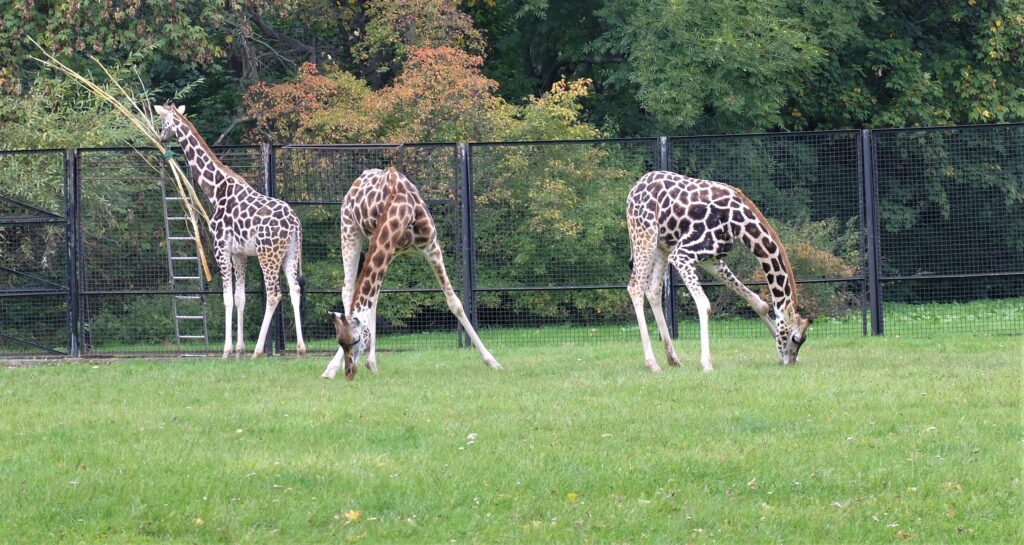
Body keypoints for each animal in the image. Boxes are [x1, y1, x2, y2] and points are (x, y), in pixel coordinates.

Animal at [151, 104, 303, 360]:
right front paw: (240, 349)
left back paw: (259, 350)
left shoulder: (220, 247)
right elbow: (241, 297)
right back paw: (301, 348)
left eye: (162, 121)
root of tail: (294, 223)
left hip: (268, 254)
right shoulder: (239, 253)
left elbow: (227, 298)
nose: (161, 137)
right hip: (289, 253)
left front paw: (227, 350)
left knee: (274, 294)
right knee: (295, 290)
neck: (215, 189)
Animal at [317, 165, 497, 379]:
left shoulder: (430, 246)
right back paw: (331, 369)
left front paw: (492, 361)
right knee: (348, 288)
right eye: (340, 342)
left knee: (369, 298)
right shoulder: (384, 244)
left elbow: (455, 303)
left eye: (354, 340)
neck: (403, 209)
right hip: (349, 229)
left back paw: (371, 363)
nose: (349, 372)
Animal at [626, 172, 811, 372]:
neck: (738, 222)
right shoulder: (683, 254)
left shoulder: (711, 259)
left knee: (653, 290)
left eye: (804, 340)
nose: (790, 362)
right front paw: (706, 363)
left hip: (663, 246)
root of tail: (633, 189)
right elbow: (705, 305)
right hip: (645, 234)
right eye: (795, 338)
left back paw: (673, 359)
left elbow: (759, 303)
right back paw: (652, 364)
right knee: (635, 287)